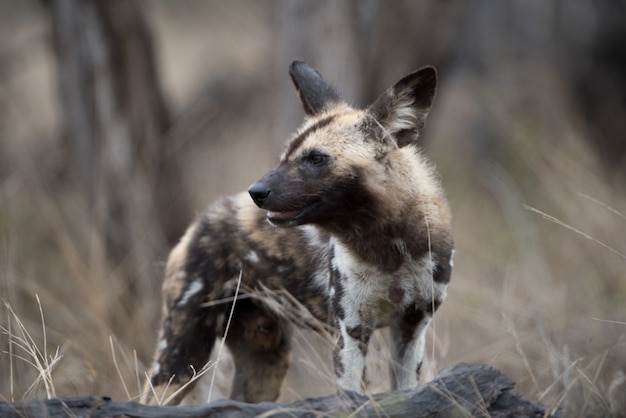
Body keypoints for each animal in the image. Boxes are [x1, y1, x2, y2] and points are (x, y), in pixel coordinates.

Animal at [140, 61, 454, 404]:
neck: (389, 249)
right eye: (285, 156)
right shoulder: (351, 332)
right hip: (181, 356)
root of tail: (204, 217)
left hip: (265, 360)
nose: (256, 192)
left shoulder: (411, 328)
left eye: (316, 158)